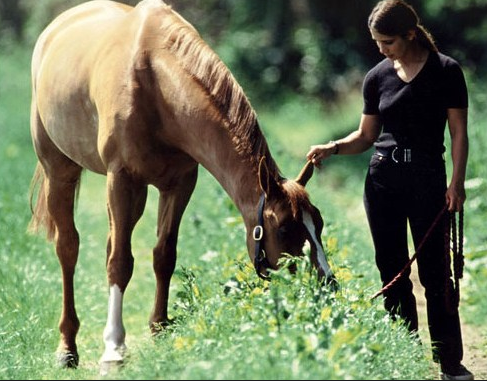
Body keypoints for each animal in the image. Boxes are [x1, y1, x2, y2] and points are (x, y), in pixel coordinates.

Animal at [28, 0, 338, 370]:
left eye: (318, 224)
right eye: (286, 229)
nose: (326, 285)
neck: (153, 83)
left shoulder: (179, 184)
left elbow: (164, 255)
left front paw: (160, 329)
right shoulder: (122, 179)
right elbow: (120, 262)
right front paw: (114, 349)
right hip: (62, 172)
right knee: (68, 249)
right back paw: (67, 347)